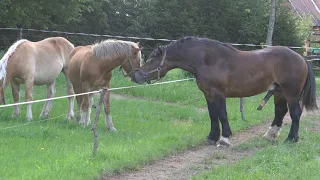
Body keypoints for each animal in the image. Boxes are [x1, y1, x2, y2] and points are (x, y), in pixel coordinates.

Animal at [131, 36, 318, 146]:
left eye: (152, 60)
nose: (135, 75)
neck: (209, 60)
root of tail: (301, 58)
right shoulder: (208, 94)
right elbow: (213, 115)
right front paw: (212, 137)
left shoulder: (219, 94)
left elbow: (222, 114)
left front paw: (224, 138)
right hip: (279, 92)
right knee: (280, 111)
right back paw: (270, 135)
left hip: (291, 93)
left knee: (294, 113)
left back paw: (291, 139)